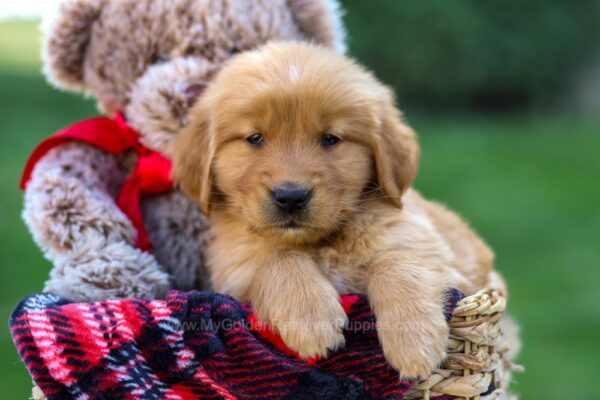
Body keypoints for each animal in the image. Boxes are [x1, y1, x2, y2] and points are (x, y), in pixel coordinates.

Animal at [175, 41, 502, 378]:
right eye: (254, 138)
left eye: (331, 139)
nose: (291, 196)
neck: (322, 243)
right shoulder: (234, 272)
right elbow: (276, 258)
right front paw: (309, 317)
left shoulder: (440, 259)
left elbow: (397, 260)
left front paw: (414, 341)